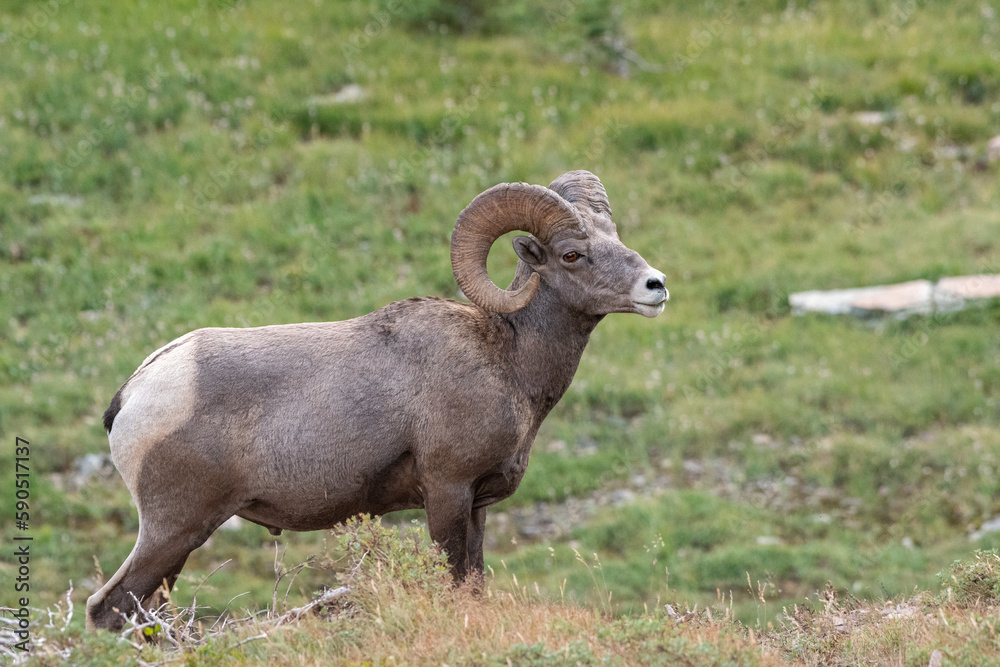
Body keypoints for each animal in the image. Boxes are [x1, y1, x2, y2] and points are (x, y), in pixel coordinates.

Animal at [86, 170, 668, 631]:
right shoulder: (447, 491)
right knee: (109, 608)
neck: (506, 357)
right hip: (174, 528)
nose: (655, 286)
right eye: (572, 254)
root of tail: (133, 394)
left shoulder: (477, 506)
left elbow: (475, 585)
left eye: (614, 236)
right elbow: (453, 580)